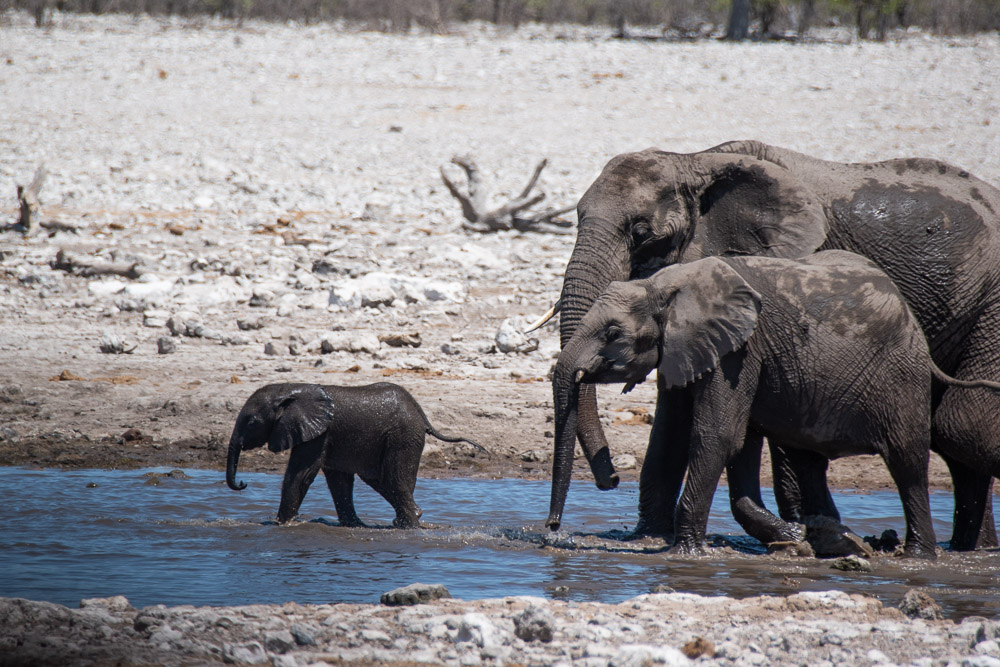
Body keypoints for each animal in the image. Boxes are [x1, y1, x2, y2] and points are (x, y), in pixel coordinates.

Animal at [228, 384, 484, 528]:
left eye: (251, 421)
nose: (242, 483)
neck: (290, 390)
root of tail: (421, 414)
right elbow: (338, 479)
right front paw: (352, 525)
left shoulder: (319, 433)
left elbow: (302, 474)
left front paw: (280, 524)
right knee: (382, 480)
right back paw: (406, 521)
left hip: (403, 436)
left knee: (394, 478)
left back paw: (409, 523)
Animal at [548, 138, 1000, 552]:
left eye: (641, 233)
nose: (610, 479)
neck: (696, 160)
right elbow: (674, 418)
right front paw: (648, 538)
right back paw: (970, 549)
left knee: (961, 423)